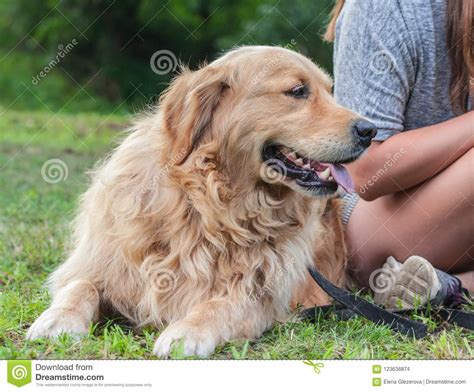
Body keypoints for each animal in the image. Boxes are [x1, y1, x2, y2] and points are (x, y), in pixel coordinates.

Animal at [26, 44, 374, 356]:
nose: (370, 130)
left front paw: (187, 332)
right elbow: (80, 286)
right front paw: (57, 320)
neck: (208, 204)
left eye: (330, 91)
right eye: (298, 91)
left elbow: (220, 305)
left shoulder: (261, 297)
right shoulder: (101, 264)